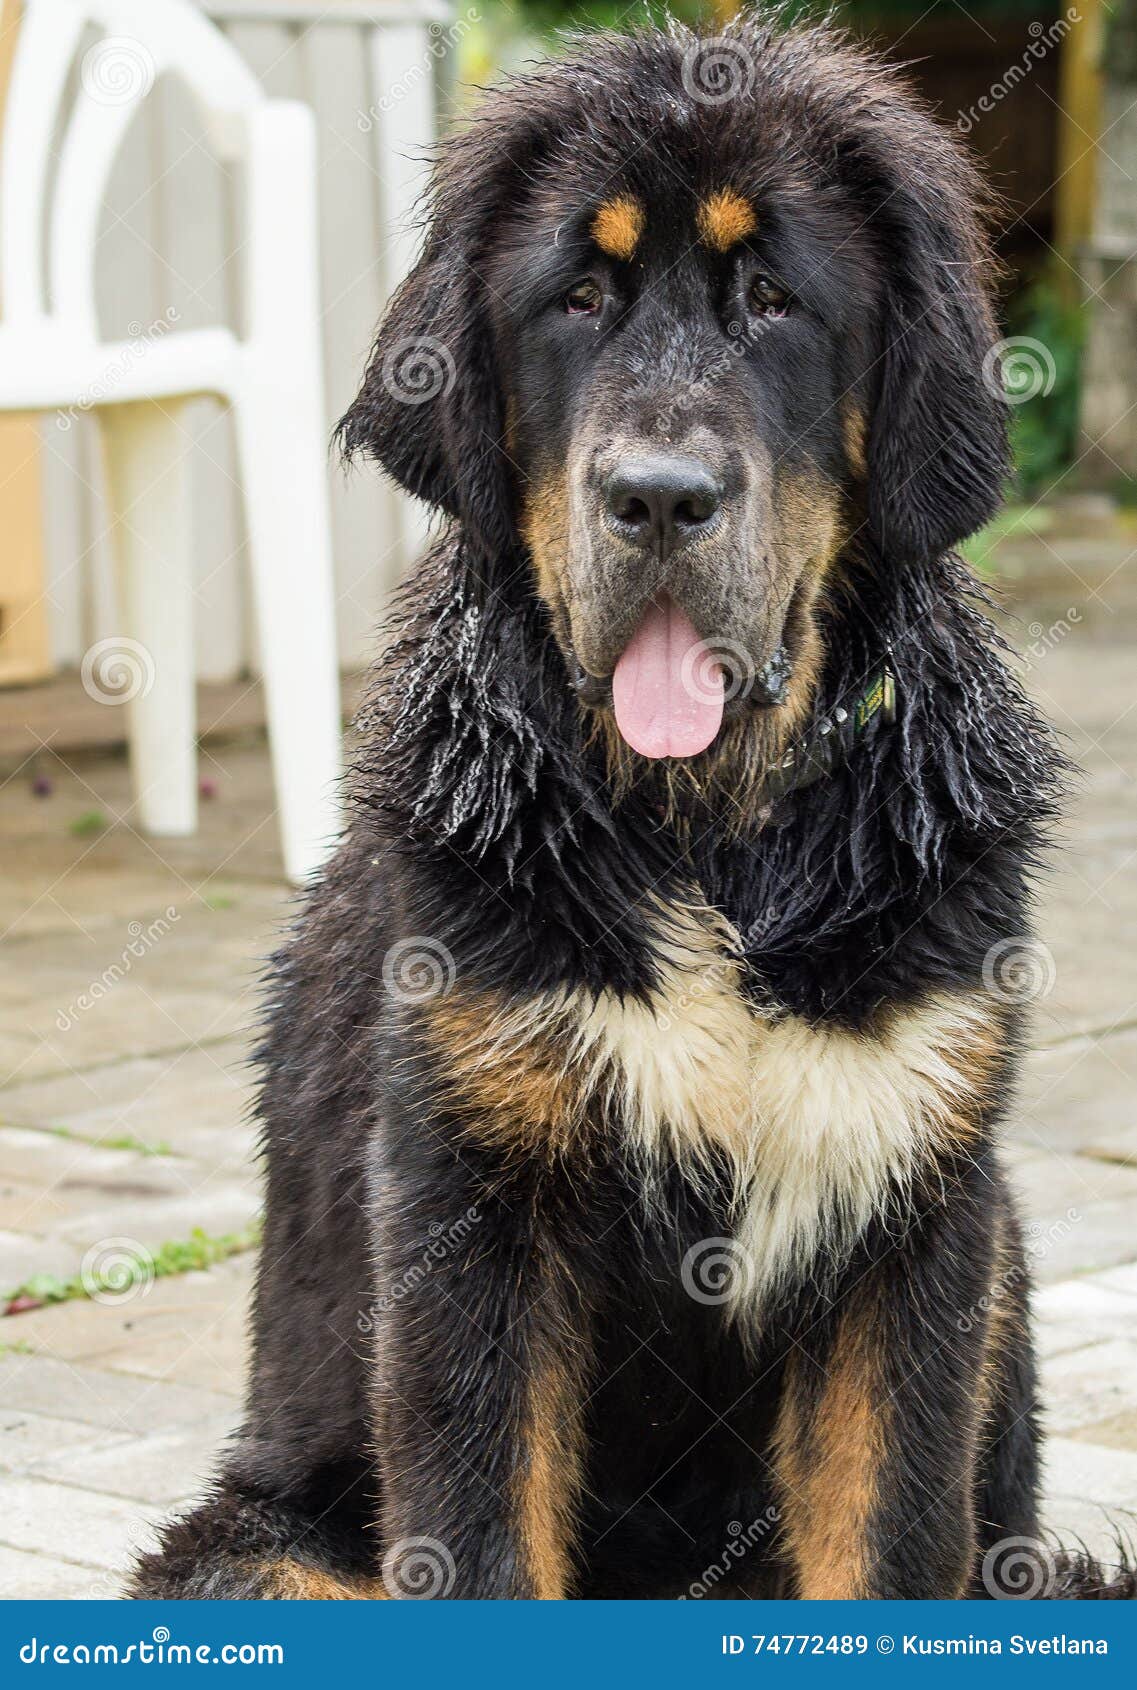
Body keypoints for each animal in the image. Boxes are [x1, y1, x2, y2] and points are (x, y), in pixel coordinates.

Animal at [130, 16, 1128, 1595]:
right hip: (256, 1548)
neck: (708, 839)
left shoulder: (910, 1208)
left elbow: (887, 1538)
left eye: (775, 300)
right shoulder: (474, 1208)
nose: (658, 497)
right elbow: (485, 1539)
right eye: (579, 298)